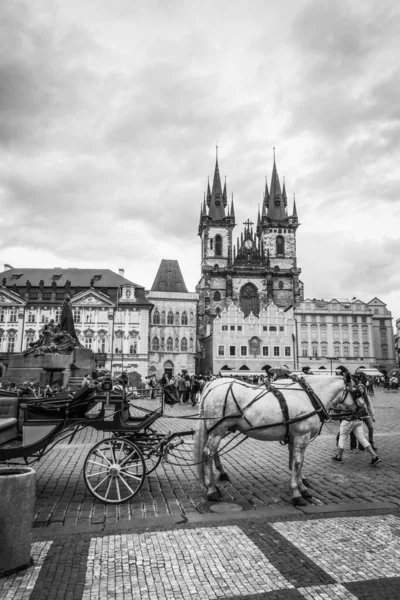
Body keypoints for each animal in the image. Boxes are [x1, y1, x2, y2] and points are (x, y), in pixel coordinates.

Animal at [192, 376, 348, 506]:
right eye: (355, 390)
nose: (357, 412)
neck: (307, 397)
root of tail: (212, 384)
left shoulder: (294, 438)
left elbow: (296, 462)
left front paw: (302, 486)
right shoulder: (302, 436)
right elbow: (298, 463)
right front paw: (297, 493)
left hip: (217, 430)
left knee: (212, 453)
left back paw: (216, 482)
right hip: (218, 429)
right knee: (208, 453)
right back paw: (211, 490)